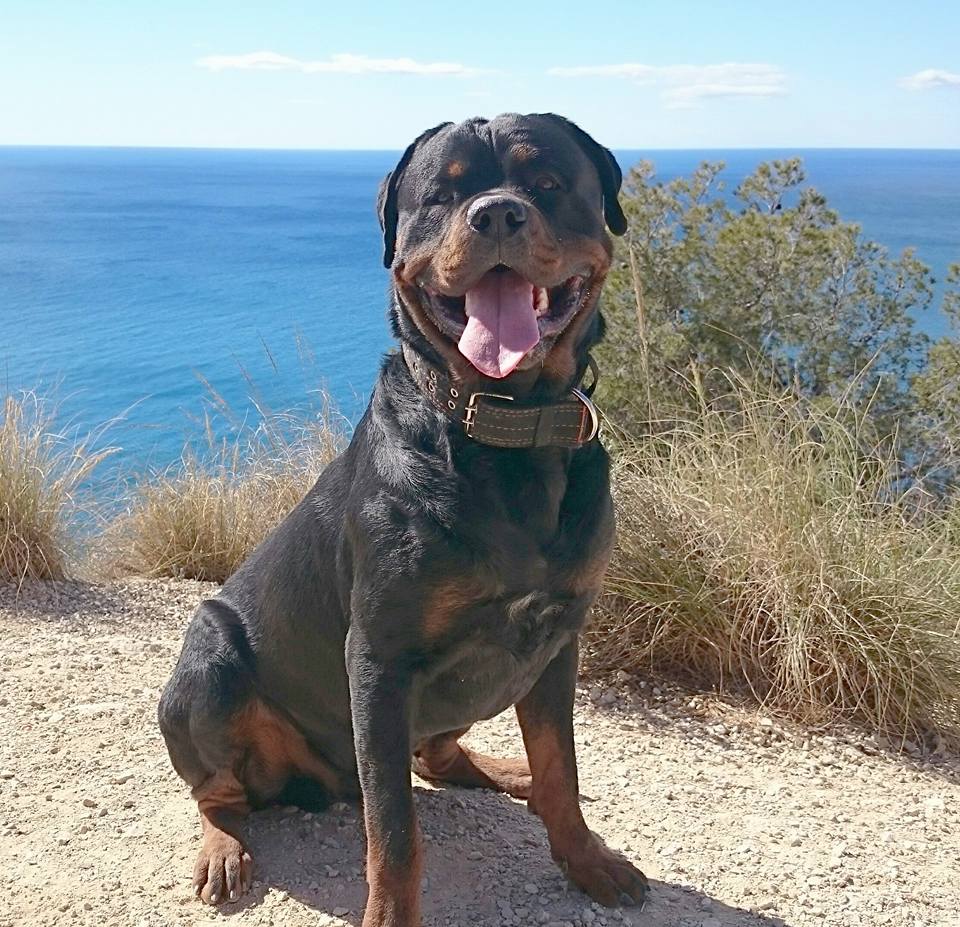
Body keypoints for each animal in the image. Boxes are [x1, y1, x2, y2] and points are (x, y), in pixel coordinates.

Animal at [159, 116, 644, 927]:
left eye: (545, 183)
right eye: (441, 196)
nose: (497, 213)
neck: (502, 431)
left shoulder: (557, 638)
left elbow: (561, 767)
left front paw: (584, 857)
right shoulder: (379, 660)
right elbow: (394, 829)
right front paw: (390, 913)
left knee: (439, 754)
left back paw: (502, 769)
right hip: (208, 672)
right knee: (220, 793)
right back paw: (223, 848)